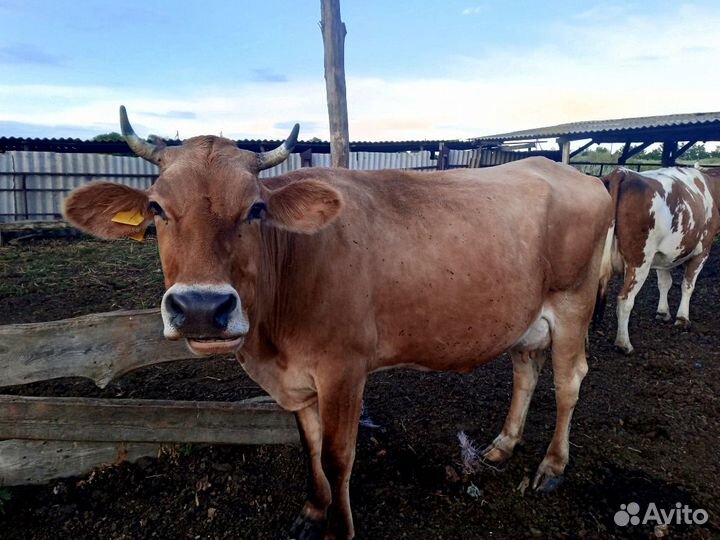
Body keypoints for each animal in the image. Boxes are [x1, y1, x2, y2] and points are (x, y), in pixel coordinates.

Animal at [64, 106, 613, 540]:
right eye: (156, 208)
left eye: (255, 208)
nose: (202, 307)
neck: (271, 344)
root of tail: (576, 173)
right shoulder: (298, 381)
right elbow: (309, 447)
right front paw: (312, 511)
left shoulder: (343, 369)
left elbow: (337, 455)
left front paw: (338, 528)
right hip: (525, 316)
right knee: (525, 371)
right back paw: (501, 447)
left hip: (573, 304)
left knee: (569, 381)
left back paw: (551, 468)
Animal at [602, 166, 720, 354]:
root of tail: (622, 172)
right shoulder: (703, 250)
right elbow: (687, 285)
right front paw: (682, 318)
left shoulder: (664, 256)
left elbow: (664, 283)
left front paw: (663, 312)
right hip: (639, 261)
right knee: (625, 300)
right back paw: (624, 344)